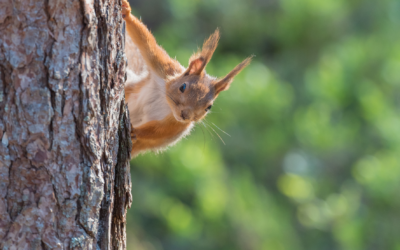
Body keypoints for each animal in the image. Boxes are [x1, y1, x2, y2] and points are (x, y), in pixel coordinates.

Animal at [122, 0, 253, 157]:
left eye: (209, 107)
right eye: (182, 87)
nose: (185, 115)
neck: (167, 103)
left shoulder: (178, 125)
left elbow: (157, 132)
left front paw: (135, 131)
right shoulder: (165, 68)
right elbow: (147, 43)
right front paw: (126, 12)